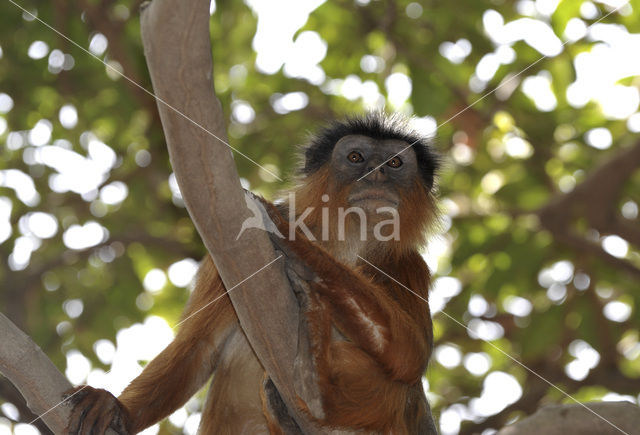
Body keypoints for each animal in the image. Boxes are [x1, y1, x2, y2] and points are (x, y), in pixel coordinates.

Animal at [67, 113, 442, 435]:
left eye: (394, 163)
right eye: (355, 157)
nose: (376, 174)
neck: (346, 241)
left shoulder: (408, 264)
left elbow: (411, 354)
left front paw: (295, 245)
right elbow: (198, 346)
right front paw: (120, 410)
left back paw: (316, 381)